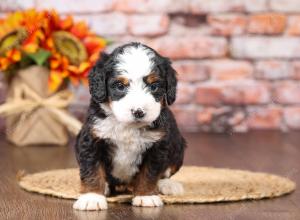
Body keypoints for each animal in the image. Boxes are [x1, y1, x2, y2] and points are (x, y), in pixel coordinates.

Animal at [72, 42, 185, 211]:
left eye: (154, 86)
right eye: (120, 86)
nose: (138, 111)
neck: (128, 127)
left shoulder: (157, 145)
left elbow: (150, 173)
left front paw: (146, 196)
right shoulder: (92, 139)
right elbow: (92, 170)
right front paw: (92, 198)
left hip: (178, 146)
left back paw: (168, 185)